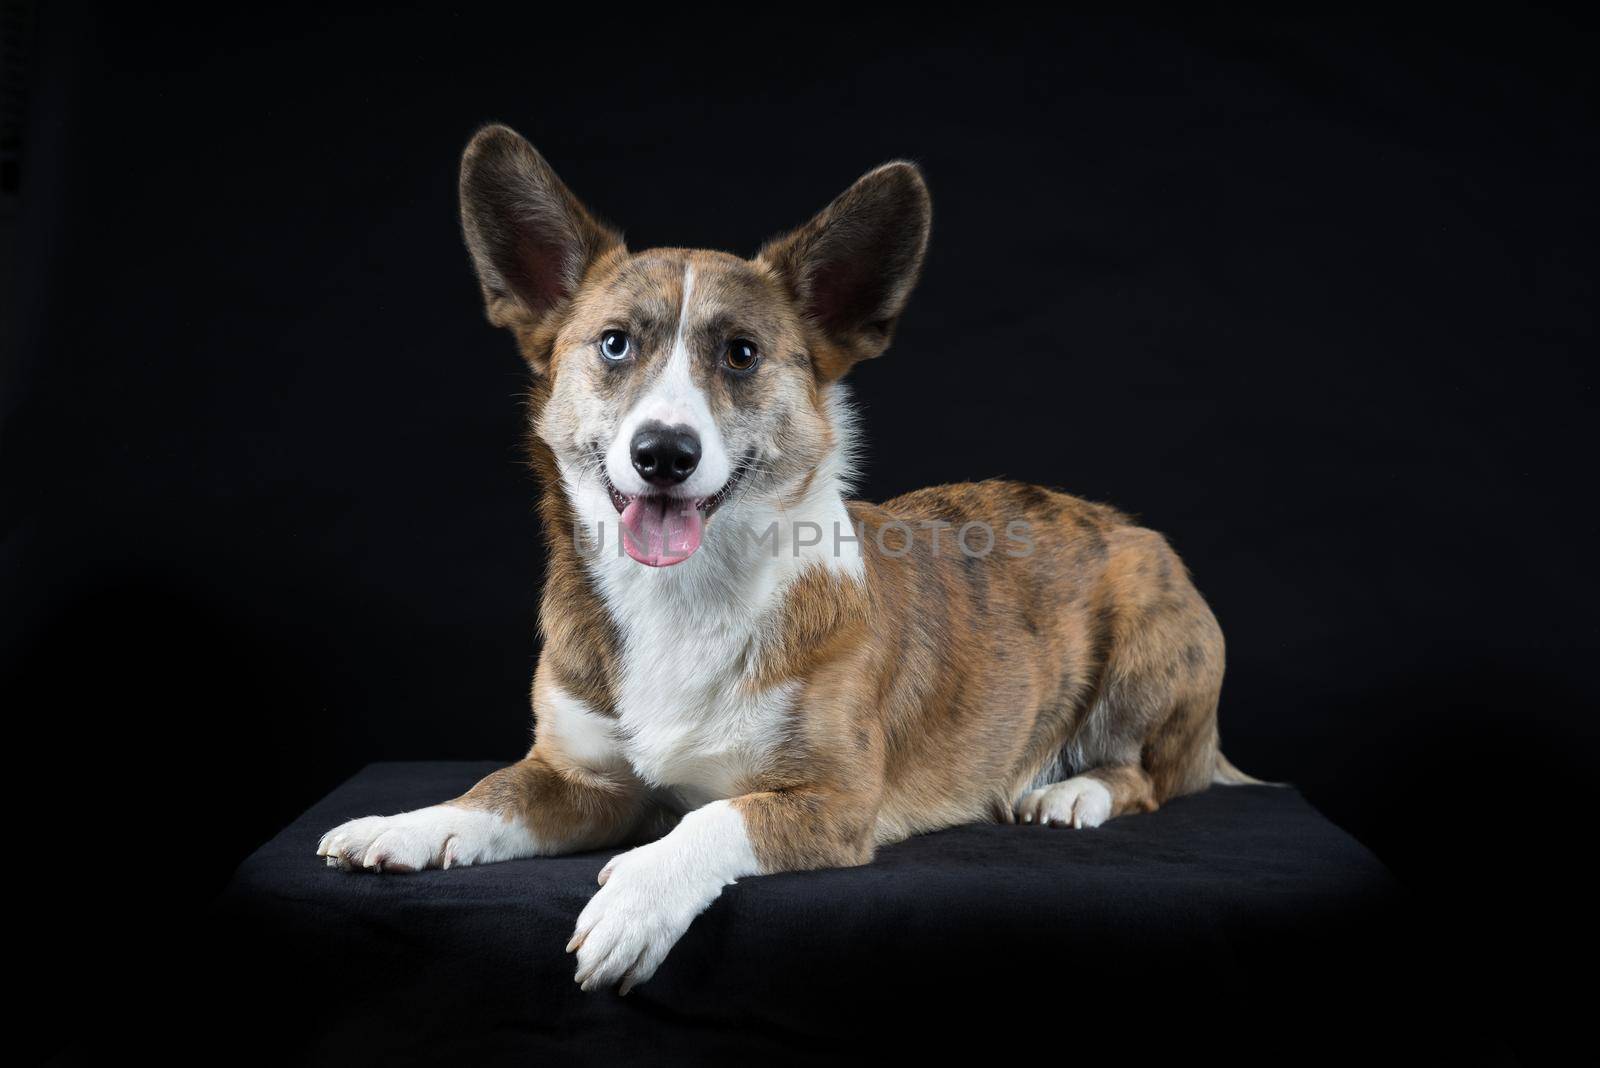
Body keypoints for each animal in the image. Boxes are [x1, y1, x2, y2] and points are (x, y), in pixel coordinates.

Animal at [315, 125, 1248, 991]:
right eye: (615, 345)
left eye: (741, 353)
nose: (664, 452)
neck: (685, 593)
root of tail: (1129, 526)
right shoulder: (582, 779)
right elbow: (493, 793)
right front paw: (405, 824)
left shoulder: (834, 801)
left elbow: (711, 819)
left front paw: (635, 901)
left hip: (1146, 642)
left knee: (1146, 776)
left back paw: (1069, 791)